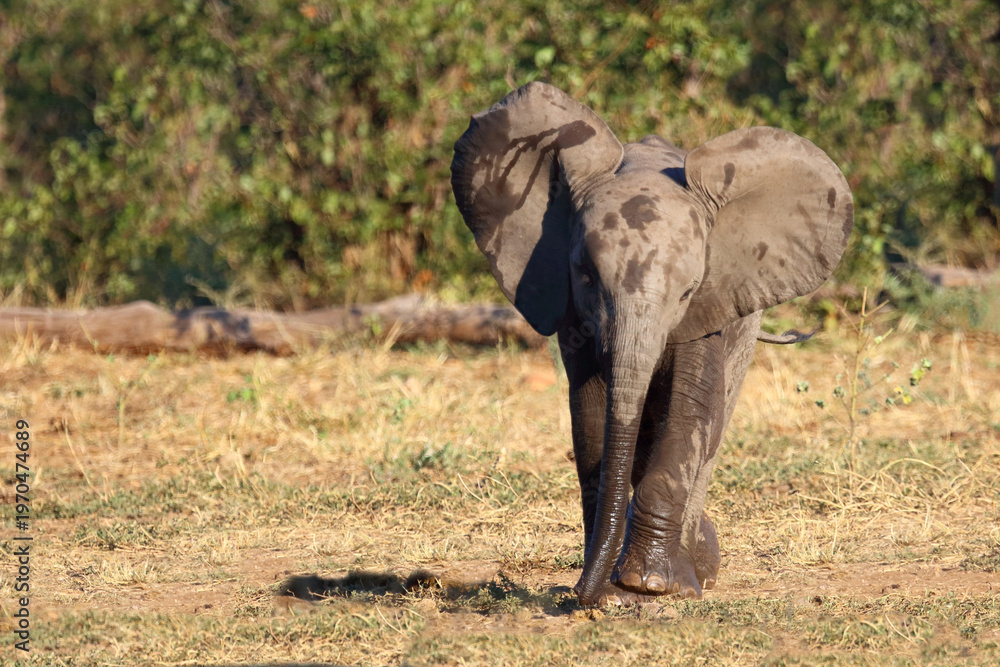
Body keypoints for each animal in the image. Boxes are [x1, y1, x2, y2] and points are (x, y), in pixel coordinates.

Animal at [449, 82, 853, 606]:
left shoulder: (711, 305)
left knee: (714, 429)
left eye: (687, 291)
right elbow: (592, 413)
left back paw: (699, 570)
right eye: (585, 276)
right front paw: (612, 591)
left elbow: (692, 407)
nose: (576, 594)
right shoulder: (572, 307)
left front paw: (651, 586)